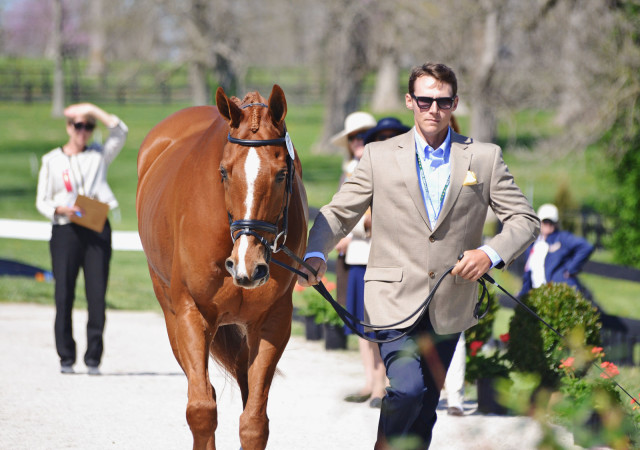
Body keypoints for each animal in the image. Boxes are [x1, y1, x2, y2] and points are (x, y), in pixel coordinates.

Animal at [138, 85, 310, 450]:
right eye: (224, 172)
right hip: (172, 316)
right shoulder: (192, 314)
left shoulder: (272, 322)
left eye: (282, 174)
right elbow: (201, 410)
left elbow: (254, 422)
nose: (249, 265)